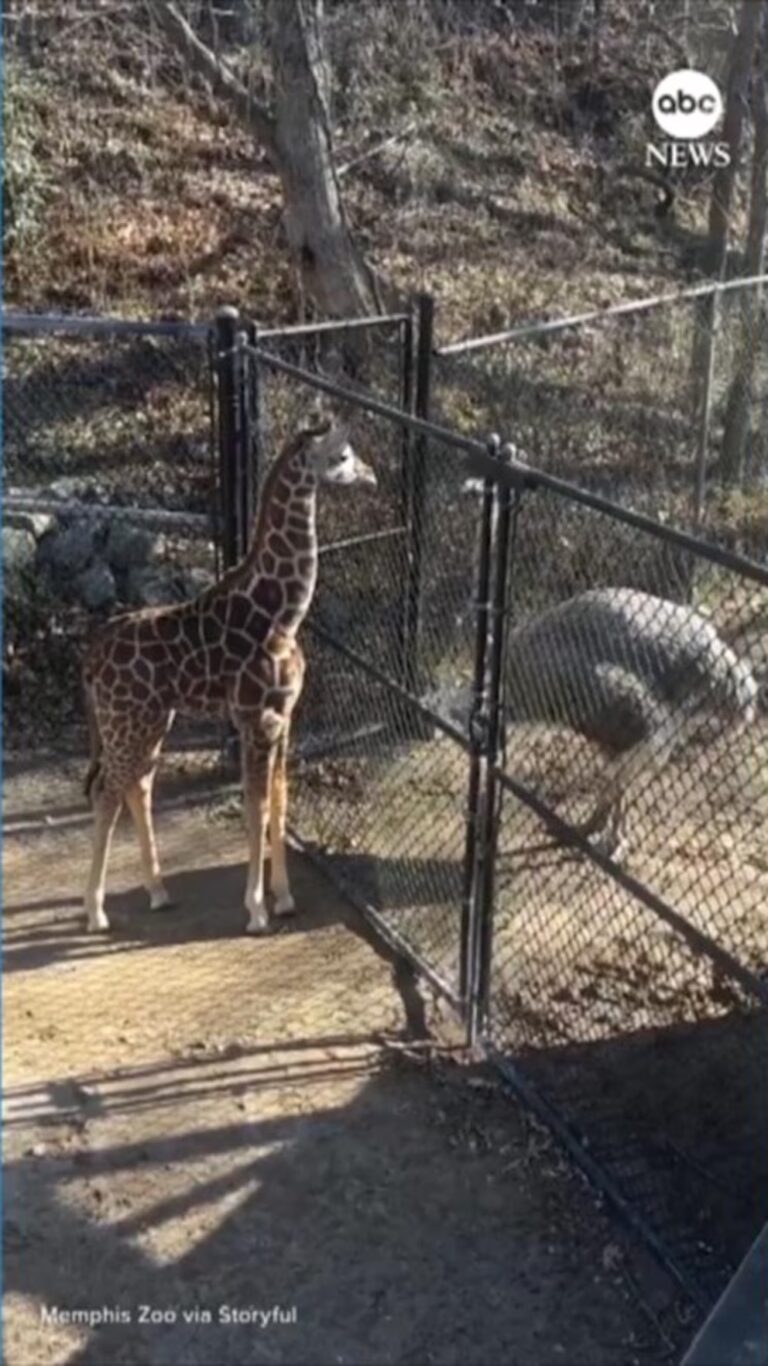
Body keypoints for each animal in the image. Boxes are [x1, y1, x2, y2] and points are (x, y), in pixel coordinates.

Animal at [81, 417, 377, 936]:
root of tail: (94, 654)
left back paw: (159, 892)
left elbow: (279, 801)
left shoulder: (284, 718)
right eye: (342, 456)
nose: (371, 475)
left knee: (138, 784)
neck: (282, 615)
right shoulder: (257, 720)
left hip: (153, 720)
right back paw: (97, 912)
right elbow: (255, 807)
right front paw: (256, 910)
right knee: (107, 790)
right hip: (125, 721)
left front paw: (284, 898)